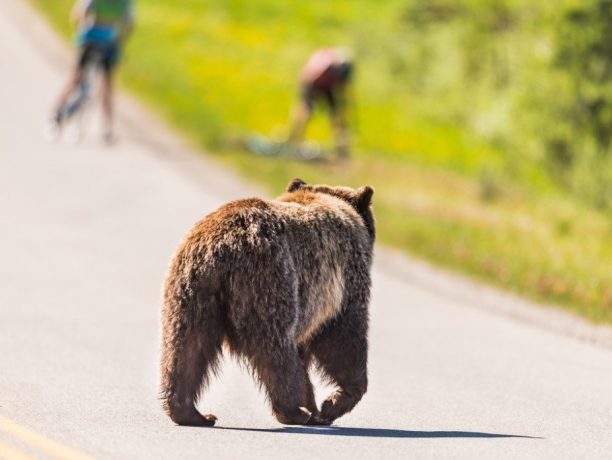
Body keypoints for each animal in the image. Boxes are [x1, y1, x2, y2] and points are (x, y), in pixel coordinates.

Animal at [160, 178, 376, 426]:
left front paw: (317, 407)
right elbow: (344, 336)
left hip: (191, 290)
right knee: (276, 349)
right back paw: (293, 410)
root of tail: (221, 247)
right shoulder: (343, 280)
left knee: (186, 347)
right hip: (270, 280)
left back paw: (192, 412)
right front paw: (331, 404)